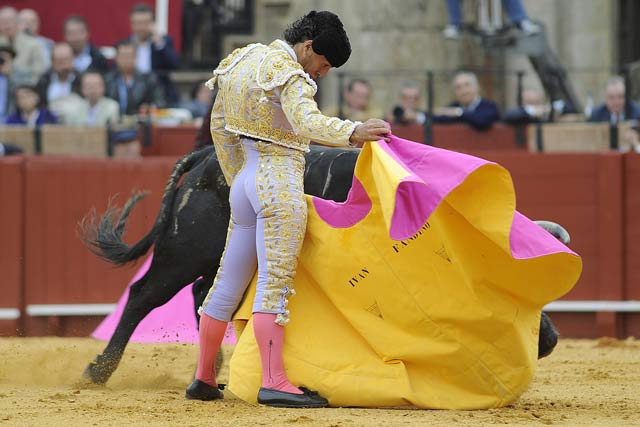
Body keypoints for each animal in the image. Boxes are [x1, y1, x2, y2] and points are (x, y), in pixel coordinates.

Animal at [80, 145, 560, 386]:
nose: (549, 340)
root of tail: (202, 158)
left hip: (218, 255)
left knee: (205, 294)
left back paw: (212, 370)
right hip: (182, 251)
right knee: (144, 295)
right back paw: (98, 371)